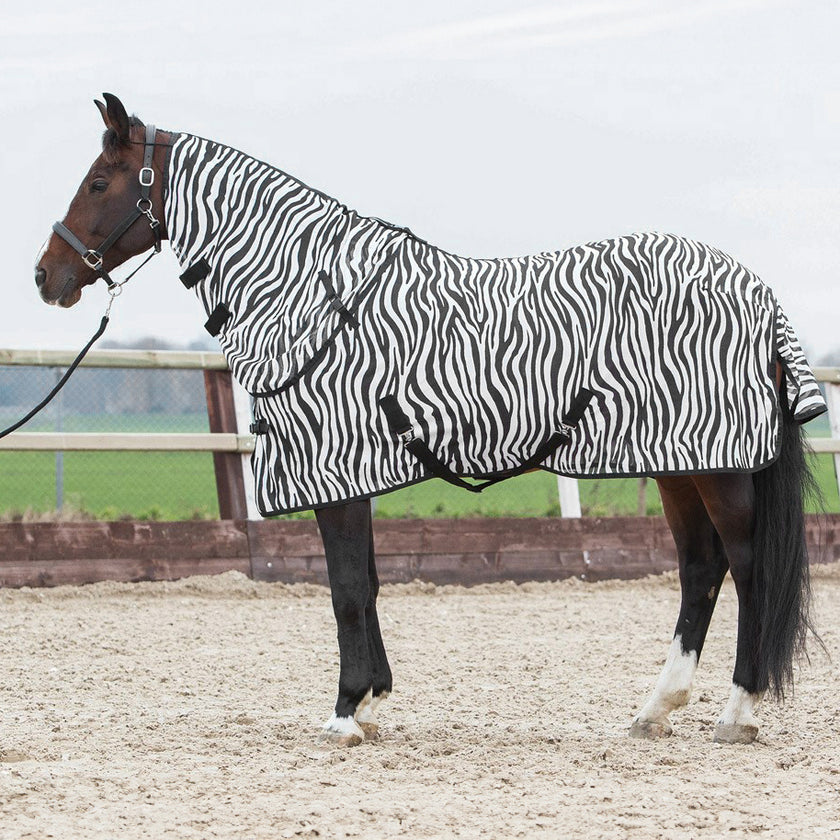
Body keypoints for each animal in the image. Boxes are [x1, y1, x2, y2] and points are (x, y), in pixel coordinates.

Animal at [35, 93, 825, 747]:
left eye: (99, 183)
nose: (46, 276)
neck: (312, 293)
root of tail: (757, 291)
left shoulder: (334, 470)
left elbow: (348, 590)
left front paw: (345, 713)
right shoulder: (349, 475)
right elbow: (369, 583)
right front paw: (373, 701)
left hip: (719, 469)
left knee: (747, 567)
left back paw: (738, 712)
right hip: (677, 464)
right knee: (700, 569)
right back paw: (656, 708)